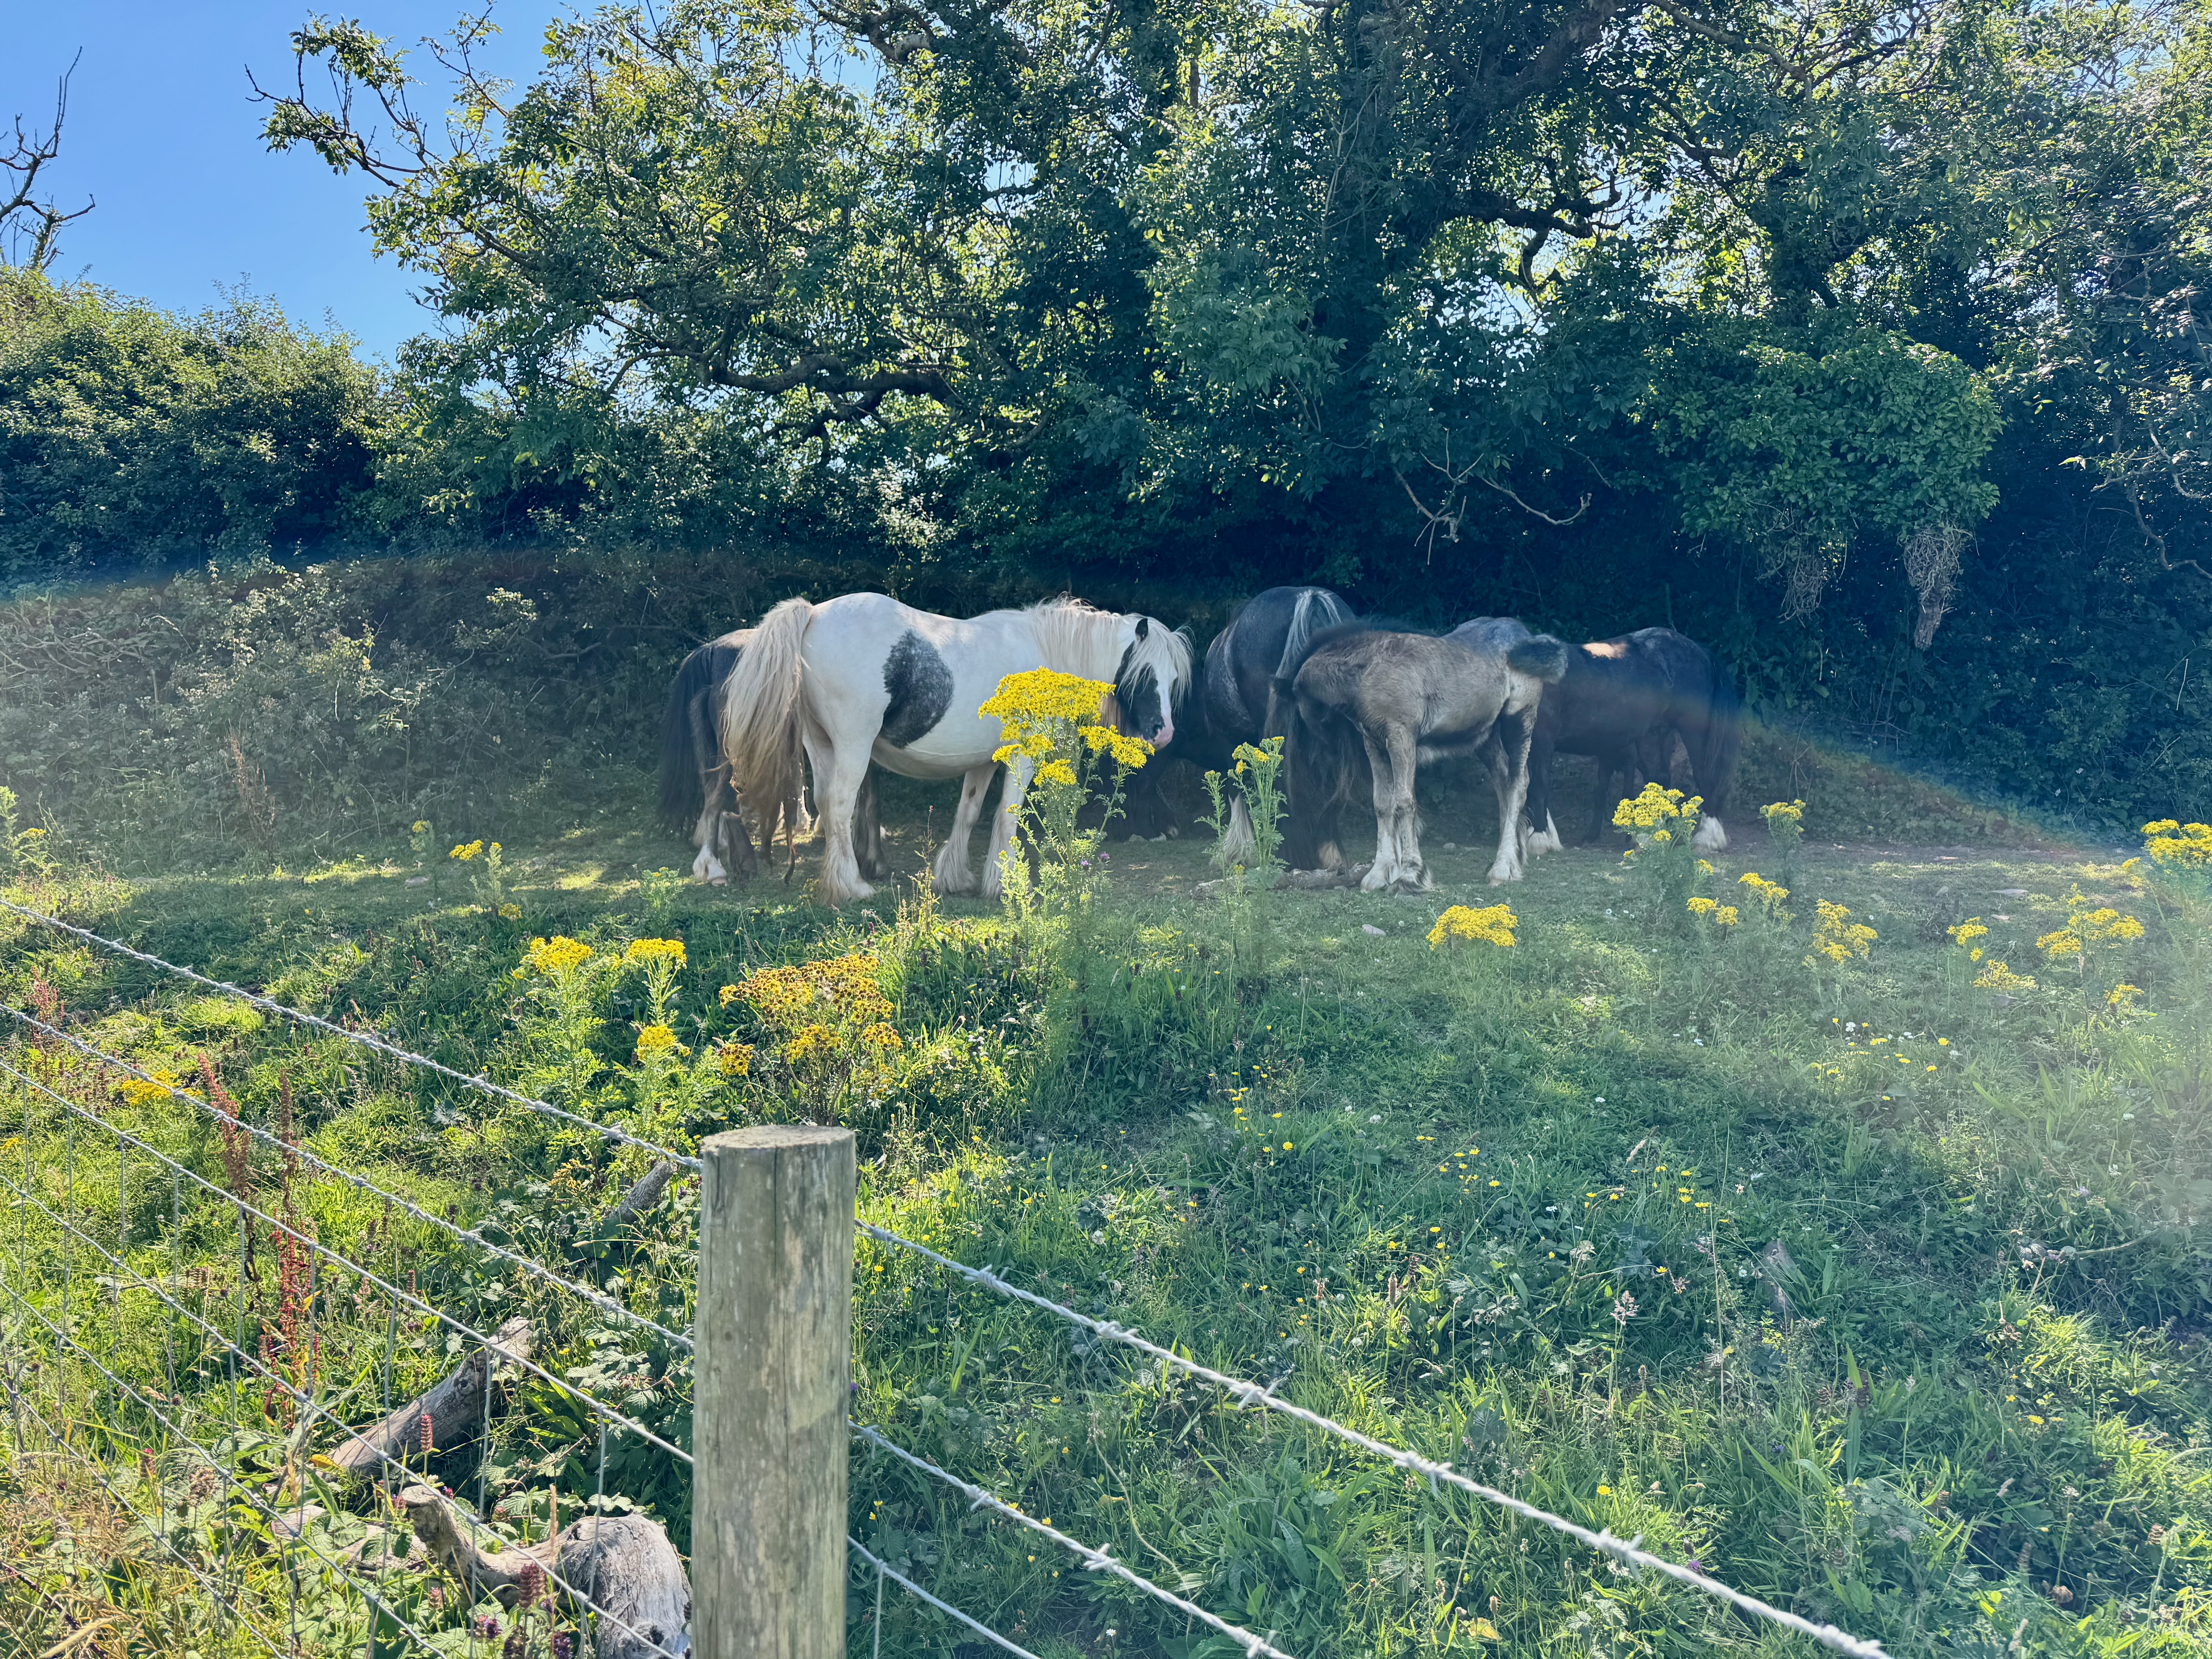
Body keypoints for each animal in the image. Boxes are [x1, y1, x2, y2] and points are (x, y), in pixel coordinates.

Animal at [716, 597, 1185, 911]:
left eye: (1173, 678)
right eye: (1145, 673)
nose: (1165, 734)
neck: (1047, 654)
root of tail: (813, 614)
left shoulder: (983, 761)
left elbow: (969, 813)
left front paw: (956, 878)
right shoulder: (1021, 758)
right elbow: (1006, 817)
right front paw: (1005, 884)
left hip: (822, 747)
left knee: (825, 807)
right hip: (853, 745)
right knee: (839, 806)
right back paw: (852, 887)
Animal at [1283, 623, 1575, 889]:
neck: (1366, 673)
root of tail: (1526, 638)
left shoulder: (1401, 737)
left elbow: (1403, 803)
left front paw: (1410, 875)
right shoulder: (1374, 744)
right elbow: (1381, 804)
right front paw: (1379, 874)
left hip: (1519, 722)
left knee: (1518, 786)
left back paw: (1502, 869)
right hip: (1485, 737)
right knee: (1503, 782)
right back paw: (1512, 861)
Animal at [1451, 619, 1743, 858]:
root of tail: (1701, 651)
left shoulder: (1542, 743)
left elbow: (1539, 787)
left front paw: (1541, 840)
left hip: (1692, 732)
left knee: (1704, 776)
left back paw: (1707, 839)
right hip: (1652, 736)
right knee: (1660, 778)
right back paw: (1650, 839)